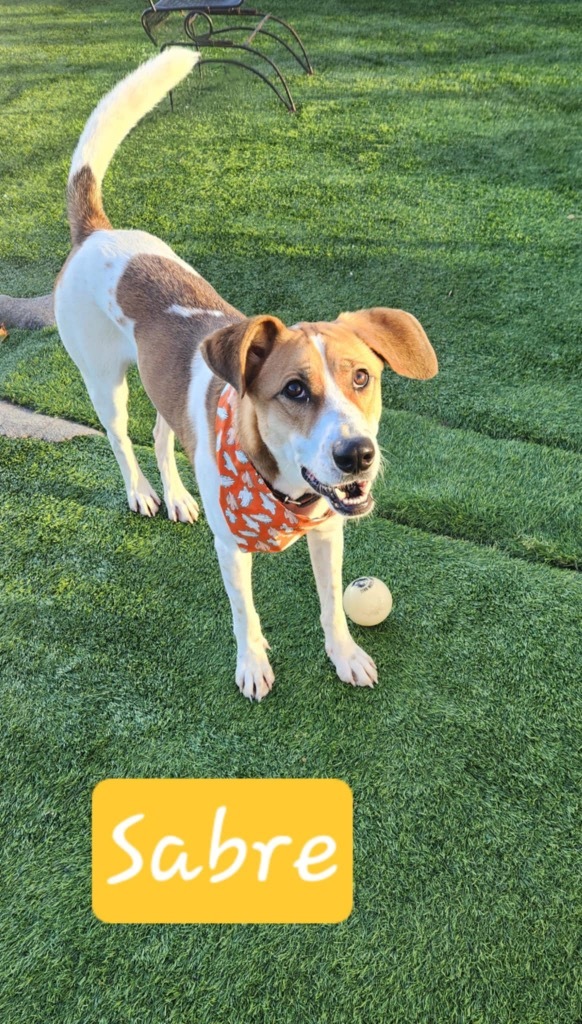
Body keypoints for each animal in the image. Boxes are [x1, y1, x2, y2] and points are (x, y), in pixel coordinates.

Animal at [53, 51, 436, 700]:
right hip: (104, 381)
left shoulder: (330, 532)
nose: (358, 453)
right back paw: (144, 493)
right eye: (294, 389)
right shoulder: (232, 550)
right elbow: (244, 613)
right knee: (122, 439)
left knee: (161, 433)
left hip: (162, 387)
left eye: (362, 377)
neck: (283, 491)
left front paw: (345, 655)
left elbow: (332, 605)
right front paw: (253, 665)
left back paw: (179, 496)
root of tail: (98, 232)